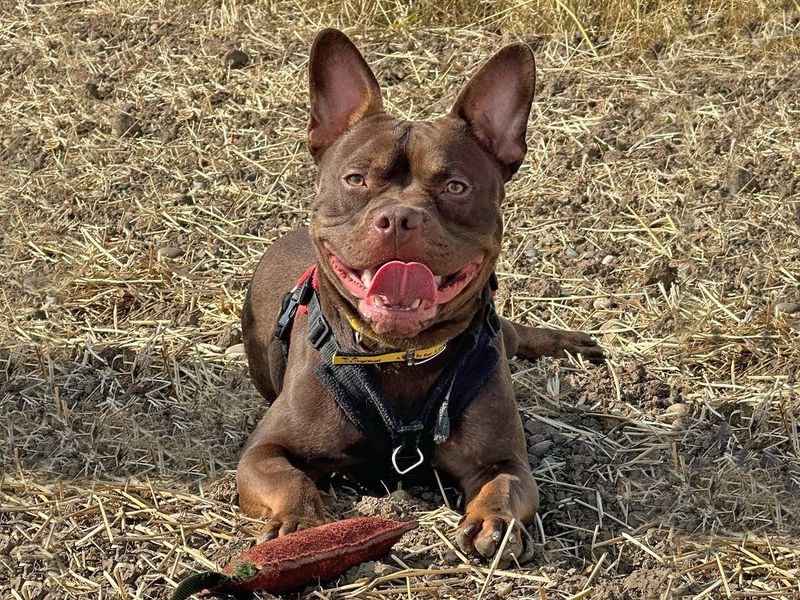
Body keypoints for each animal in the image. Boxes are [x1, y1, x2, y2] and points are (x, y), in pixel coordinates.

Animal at [238, 29, 600, 564]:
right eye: (356, 179)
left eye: (455, 186)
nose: (399, 216)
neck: (400, 357)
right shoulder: (264, 452)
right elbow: (290, 480)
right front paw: (298, 527)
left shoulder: (503, 459)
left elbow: (503, 486)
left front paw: (493, 521)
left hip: (501, 342)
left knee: (513, 333)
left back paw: (570, 343)